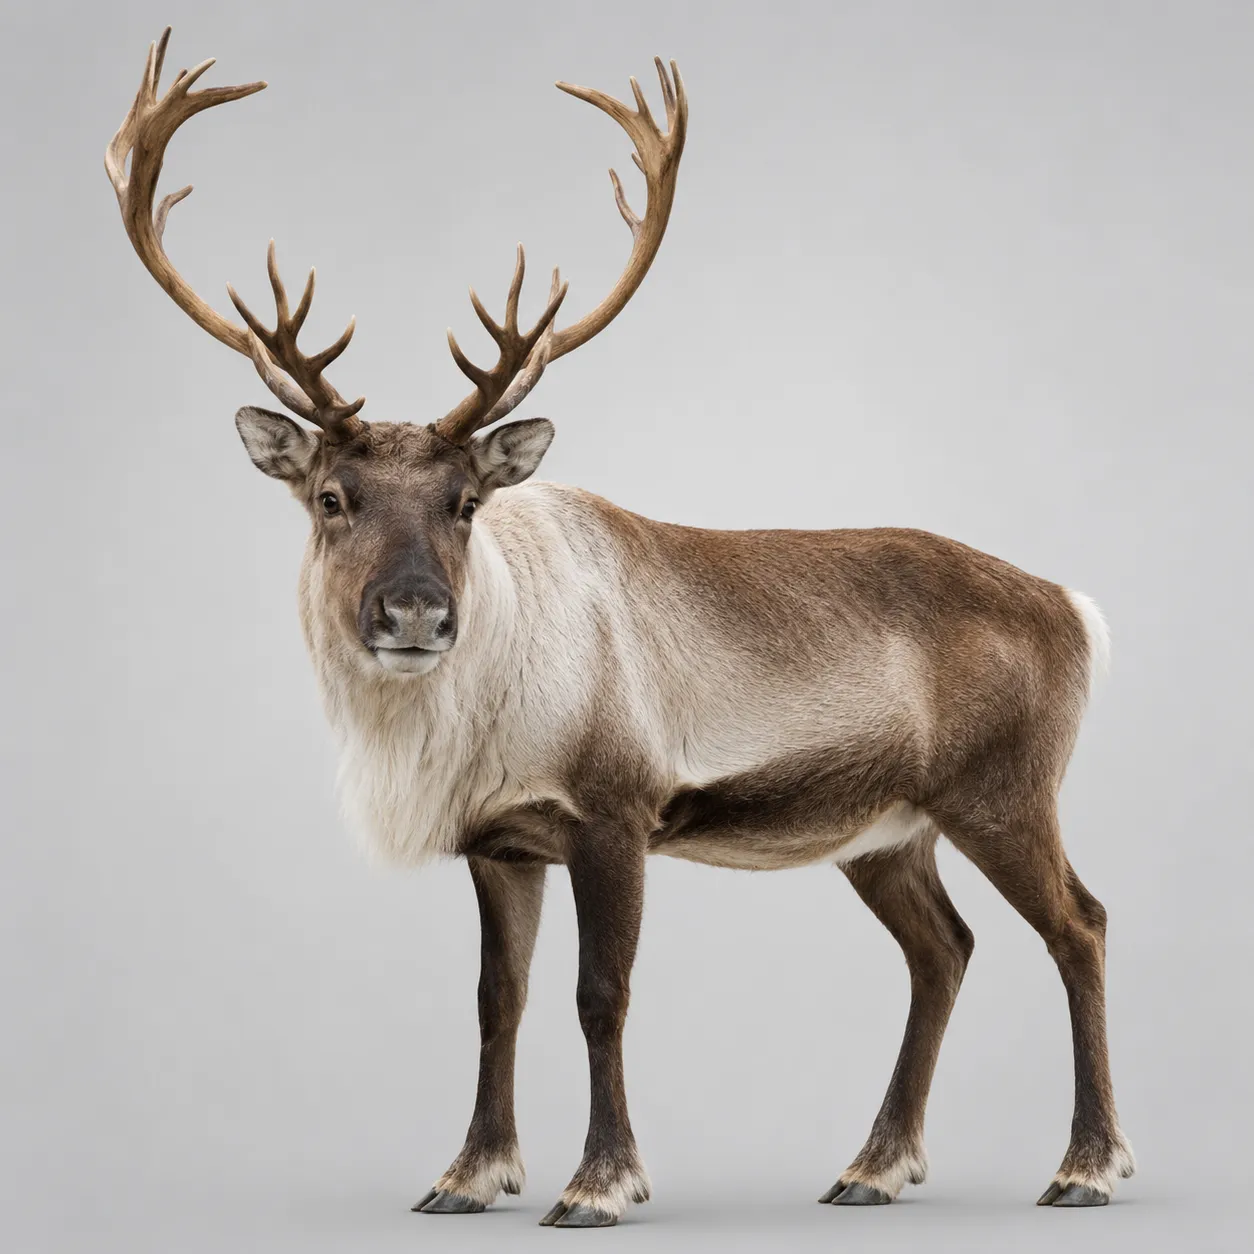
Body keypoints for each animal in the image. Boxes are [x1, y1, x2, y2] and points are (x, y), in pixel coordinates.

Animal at [106, 27, 1134, 1228]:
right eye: (329, 497)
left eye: (466, 500)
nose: (415, 612)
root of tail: (1075, 610)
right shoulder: (501, 838)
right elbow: (497, 996)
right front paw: (468, 1173)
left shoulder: (615, 808)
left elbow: (602, 994)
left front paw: (599, 1182)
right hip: (889, 830)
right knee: (946, 949)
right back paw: (874, 1166)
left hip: (1005, 789)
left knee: (1079, 923)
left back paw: (1085, 1166)